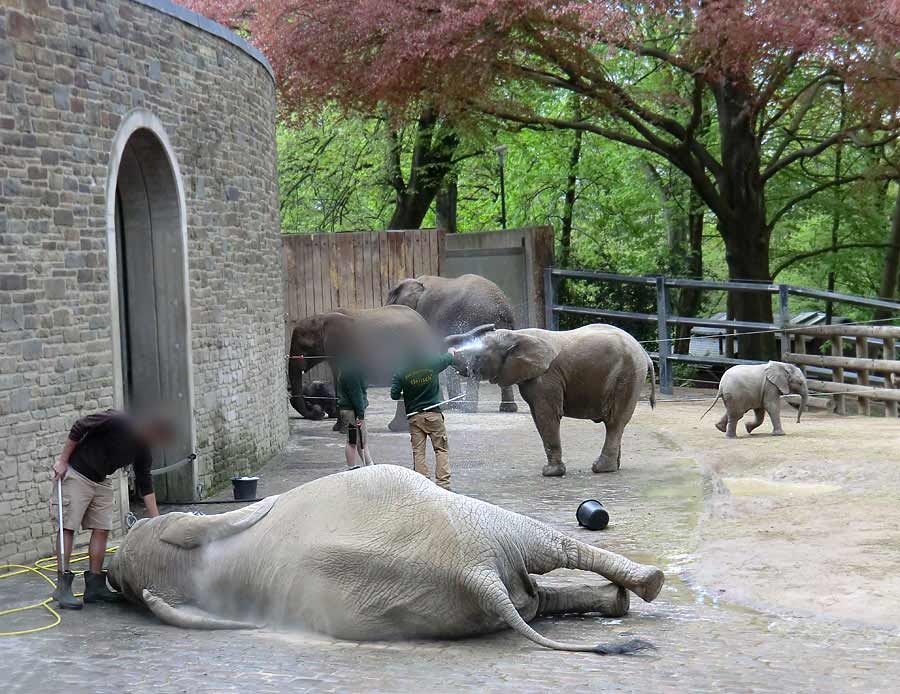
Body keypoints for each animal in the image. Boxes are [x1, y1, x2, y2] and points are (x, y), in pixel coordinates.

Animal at [109, 464, 664, 656]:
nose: (108, 575)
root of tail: (477, 574)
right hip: (463, 553)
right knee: (541, 577)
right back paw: (635, 592)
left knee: (545, 563)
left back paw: (641, 588)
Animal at [288, 308, 440, 432]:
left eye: (304, 347)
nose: (318, 412)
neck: (322, 317)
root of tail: (425, 324)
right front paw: (337, 428)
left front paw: (341, 428)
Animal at [448, 326, 652, 478]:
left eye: (477, 356)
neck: (517, 335)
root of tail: (644, 353)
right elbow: (538, 417)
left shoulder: (546, 378)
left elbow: (546, 416)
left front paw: (550, 473)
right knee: (617, 424)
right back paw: (613, 467)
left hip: (627, 376)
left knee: (614, 423)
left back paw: (601, 469)